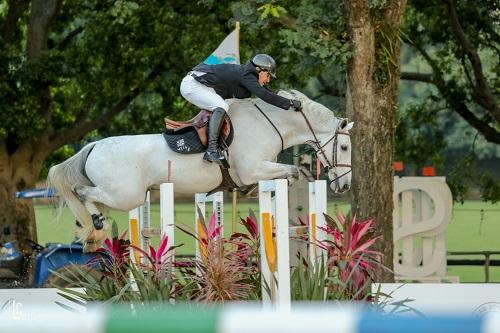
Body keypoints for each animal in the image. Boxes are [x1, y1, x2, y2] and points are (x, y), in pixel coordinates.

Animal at [46, 89, 352, 250]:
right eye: (346, 147)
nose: (345, 186)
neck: (269, 123)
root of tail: (94, 145)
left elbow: (291, 174)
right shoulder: (253, 169)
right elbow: (292, 172)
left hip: (125, 195)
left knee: (88, 196)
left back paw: (94, 230)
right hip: (126, 196)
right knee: (82, 192)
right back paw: (96, 224)